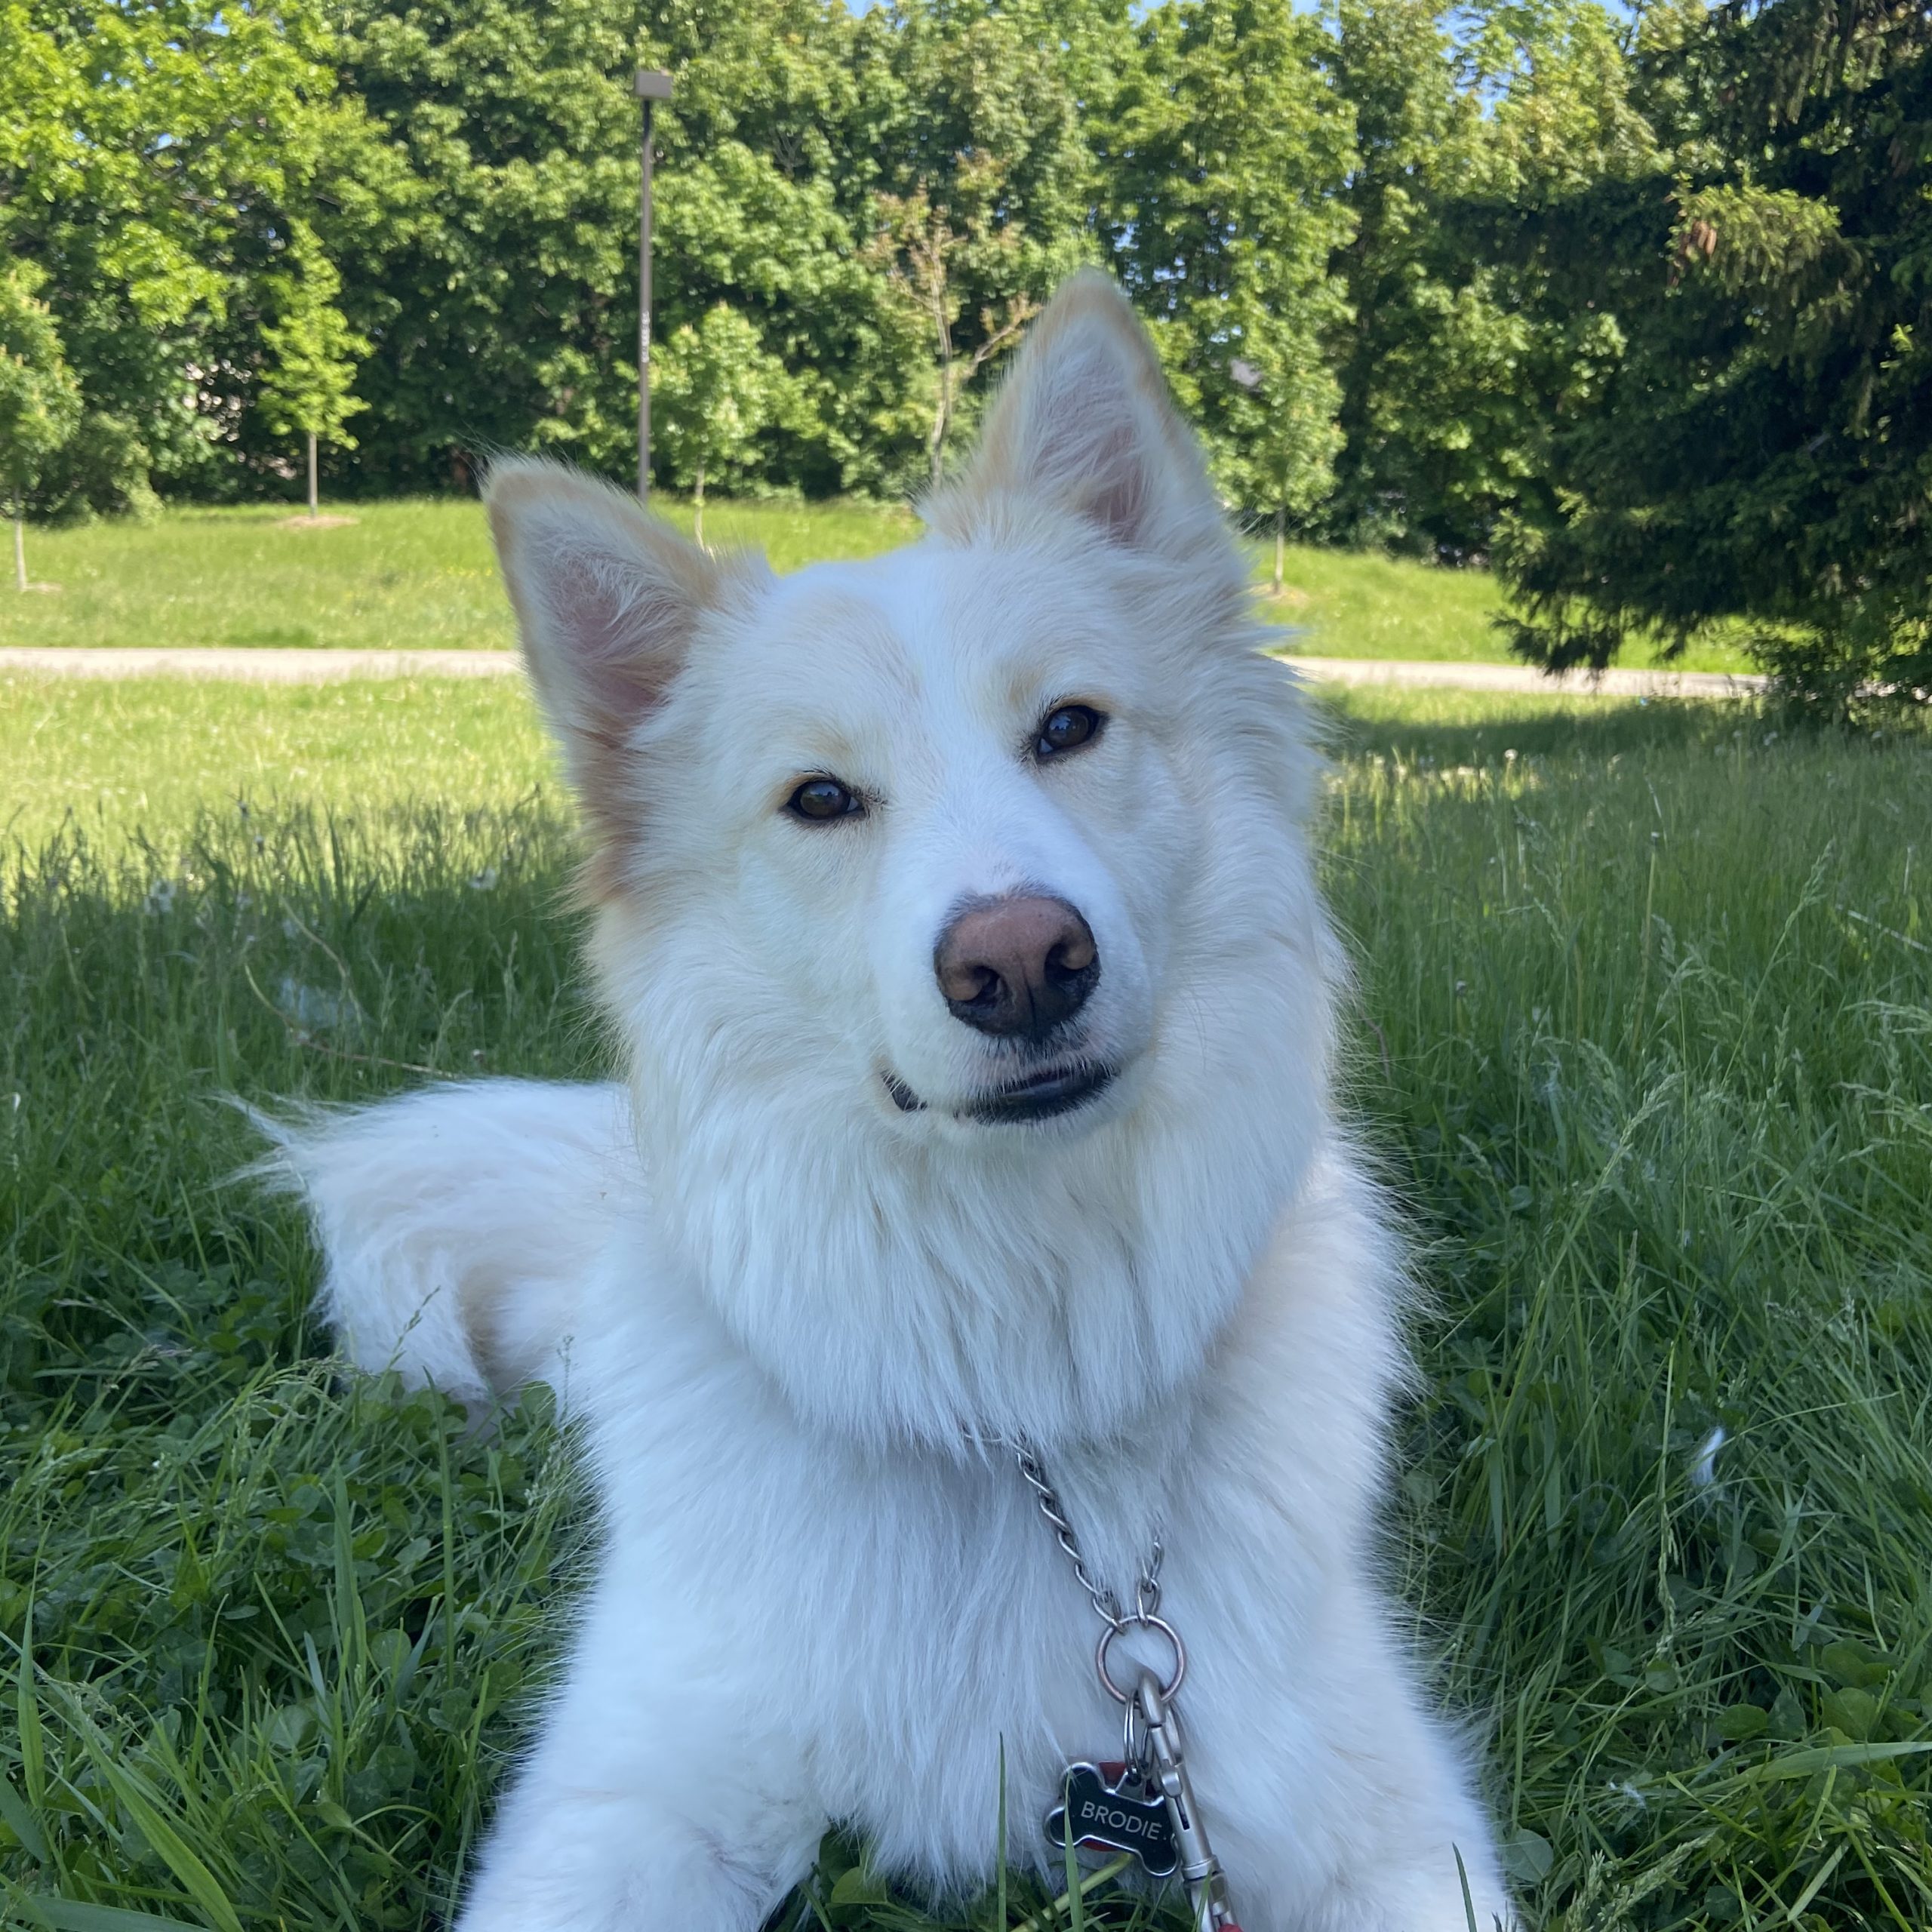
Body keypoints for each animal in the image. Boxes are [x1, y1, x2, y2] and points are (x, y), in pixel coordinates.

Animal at [267, 273, 1514, 1931]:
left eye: (1068, 728)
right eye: (820, 800)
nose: (1021, 964)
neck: (1011, 1394)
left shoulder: (1385, 1827)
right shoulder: (630, 1792)